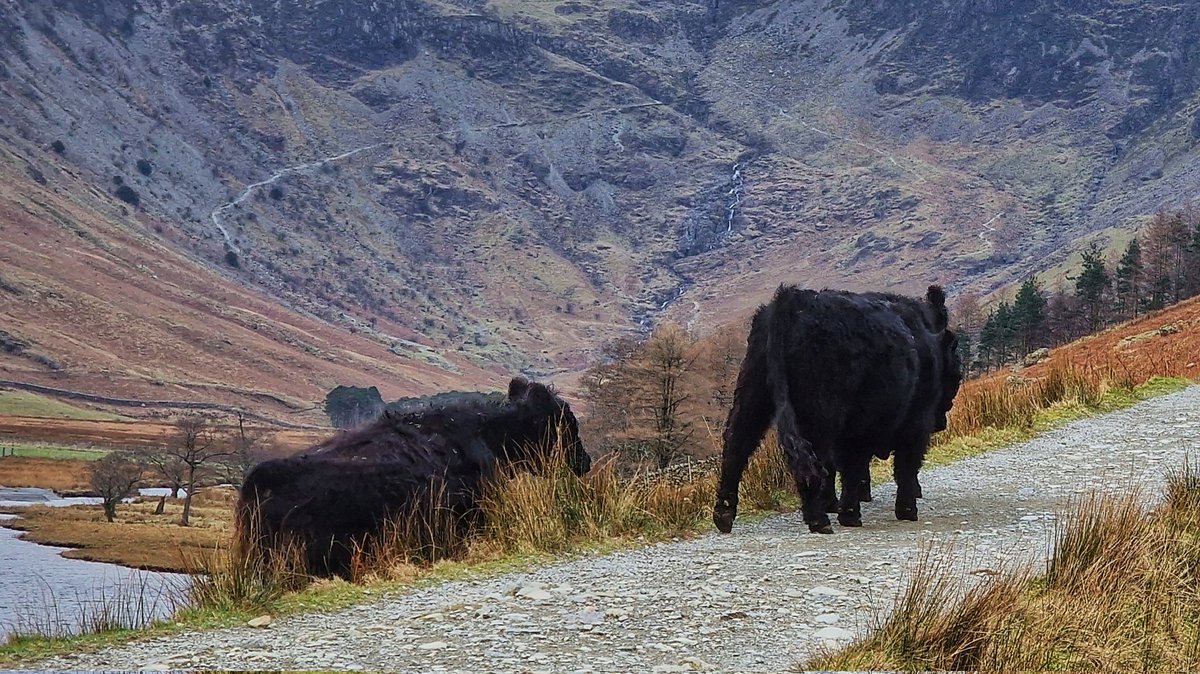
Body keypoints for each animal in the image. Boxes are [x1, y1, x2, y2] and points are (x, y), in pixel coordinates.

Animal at [712, 285, 962, 535]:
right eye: (957, 372)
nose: (942, 421)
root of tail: (794, 297)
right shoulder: (914, 421)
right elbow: (902, 465)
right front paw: (904, 510)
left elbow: (854, 467)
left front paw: (849, 510)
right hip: (821, 412)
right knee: (814, 459)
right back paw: (819, 519)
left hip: (752, 395)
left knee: (737, 446)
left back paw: (724, 514)